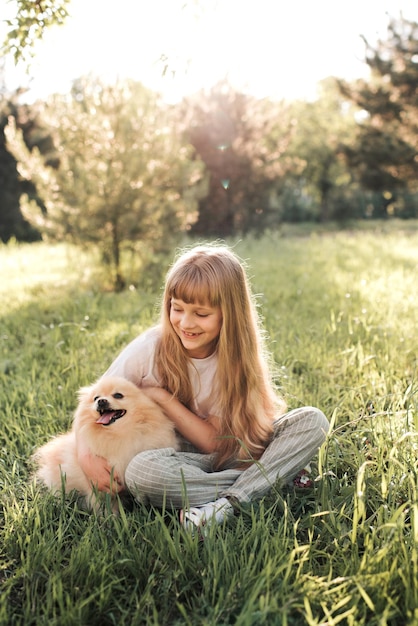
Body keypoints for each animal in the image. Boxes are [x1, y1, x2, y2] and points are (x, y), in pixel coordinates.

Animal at [33, 372, 179, 510]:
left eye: (118, 395)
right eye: (96, 398)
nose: (101, 401)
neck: (120, 434)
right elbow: (105, 506)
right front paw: (110, 518)